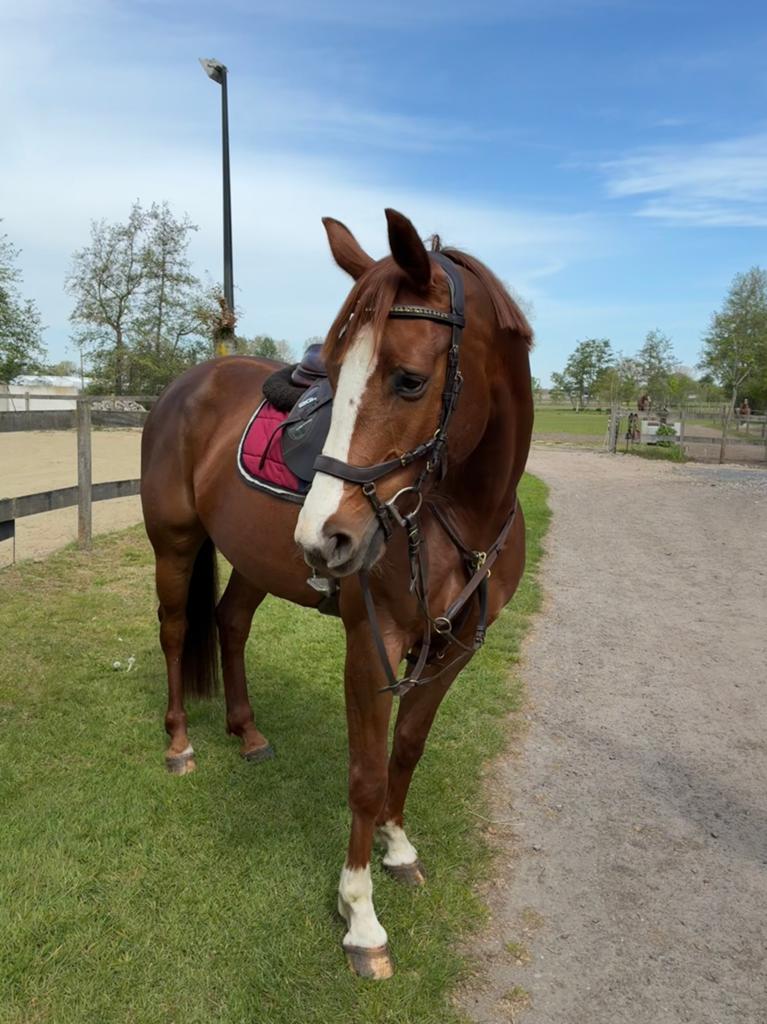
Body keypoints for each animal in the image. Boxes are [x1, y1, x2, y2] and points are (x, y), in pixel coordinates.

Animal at [140, 208, 533, 979]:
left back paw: (248, 733)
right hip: (173, 545)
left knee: (229, 624)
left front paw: (399, 849)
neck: (462, 515)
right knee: (174, 632)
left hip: (254, 564)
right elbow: (365, 774)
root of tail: (185, 384)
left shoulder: (453, 648)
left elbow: (406, 750)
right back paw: (179, 743)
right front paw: (360, 918)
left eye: (409, 380)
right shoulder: (371, 645)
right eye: (336, 362)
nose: (324, 538)